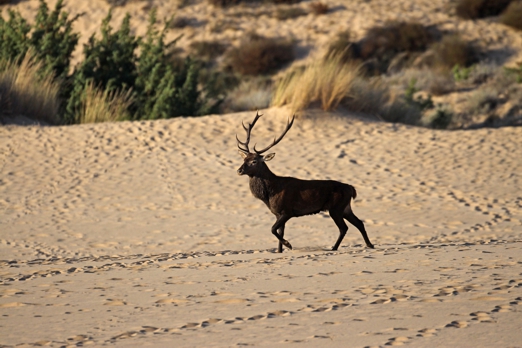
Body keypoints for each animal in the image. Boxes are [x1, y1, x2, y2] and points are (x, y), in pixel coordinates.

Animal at [236, 111, 374, 253]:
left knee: (344, 227)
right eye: (244, 159)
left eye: (254, 161)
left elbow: (273, 229)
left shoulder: (287, 211)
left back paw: (334, 248)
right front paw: (280, 250)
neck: (270, 194)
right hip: (345, 207)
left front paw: (288, 244)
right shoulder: (277, 214)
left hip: (336, 207)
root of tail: (351, 188)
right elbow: (280, 232)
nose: (239, 170)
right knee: (359, 222)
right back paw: (369, 245)